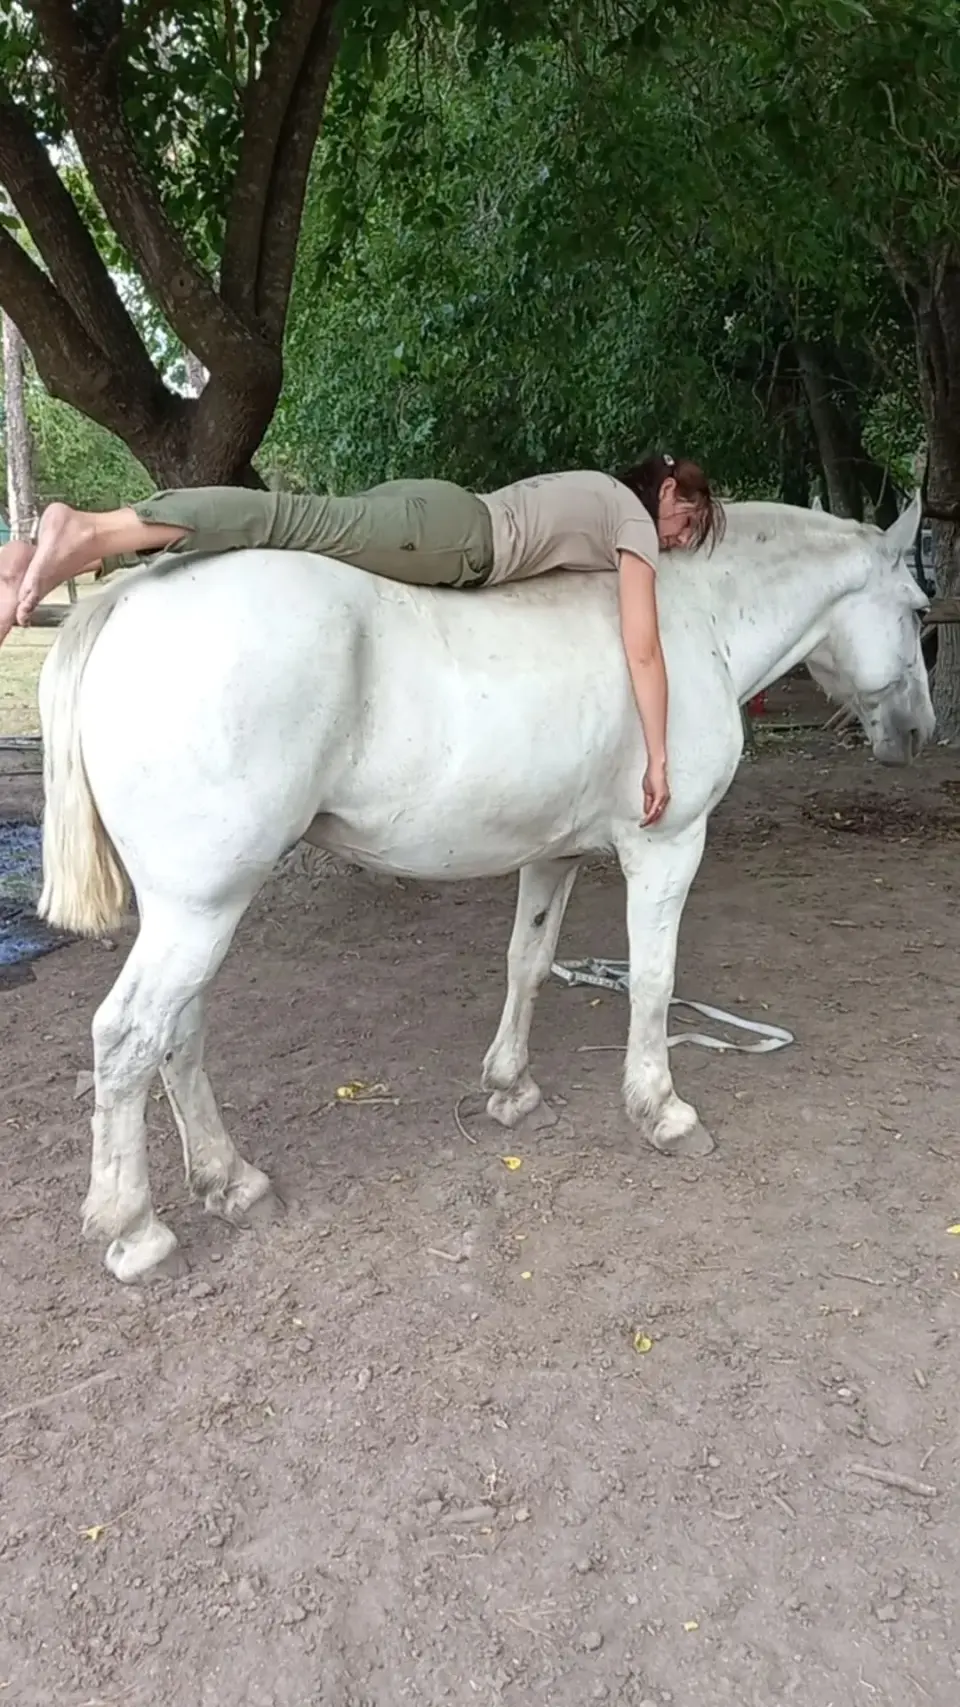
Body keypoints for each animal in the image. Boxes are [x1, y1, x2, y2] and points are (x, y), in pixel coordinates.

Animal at [36, 495, 932, 1284]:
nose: (922, 731)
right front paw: (662, 1110)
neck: (690, 619)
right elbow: (652, 980)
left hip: (189, 912)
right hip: (201, 909)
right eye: (921, 609)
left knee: (177, 1035)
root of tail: (123, 602)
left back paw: (233, 1182)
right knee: (128, 1038)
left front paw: (512, 1089)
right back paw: (137, 1233)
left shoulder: (554, 855)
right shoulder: (666, 847)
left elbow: (526, 963)